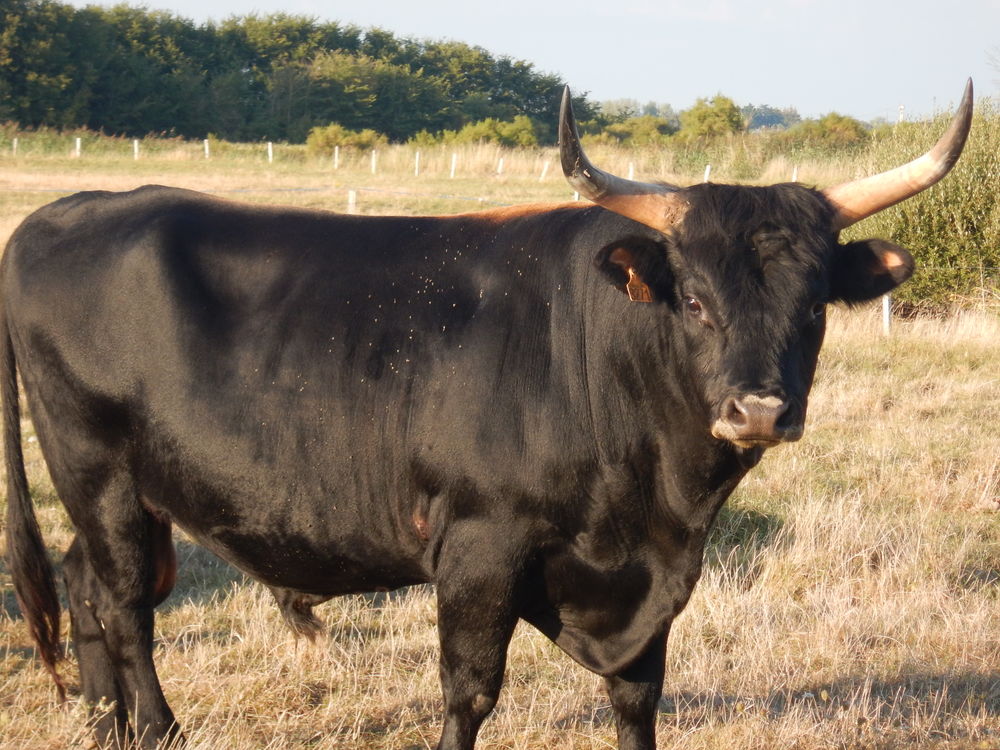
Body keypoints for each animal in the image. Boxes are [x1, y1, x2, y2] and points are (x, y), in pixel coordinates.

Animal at [3, 80, 972, 750]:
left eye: (814, 306)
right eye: (695, 300)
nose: (760, 409)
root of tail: (59, 217)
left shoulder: (647, 584)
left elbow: (637, 695)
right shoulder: (479, 546)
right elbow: (470, 689)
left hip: (125, 493)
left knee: (86, 586)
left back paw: (102, 725)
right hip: (98, 469)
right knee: (125, 604)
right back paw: (155, 728)